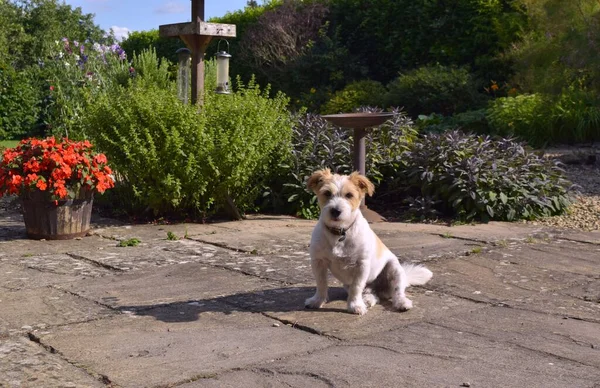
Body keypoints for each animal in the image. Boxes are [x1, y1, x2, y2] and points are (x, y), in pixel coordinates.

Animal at [304, 168, 432, 314]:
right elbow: (321, 284)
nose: (336, 211)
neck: (340, 232)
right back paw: (368, 299)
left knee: (397, 291)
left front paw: (355, 305)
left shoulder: (361, 265)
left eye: (349, 195)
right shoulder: (318, 262)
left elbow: (356, 287)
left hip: (395, 270)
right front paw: (317, 301)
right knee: (372, 294)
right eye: (327, 193)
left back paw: (401, 302)